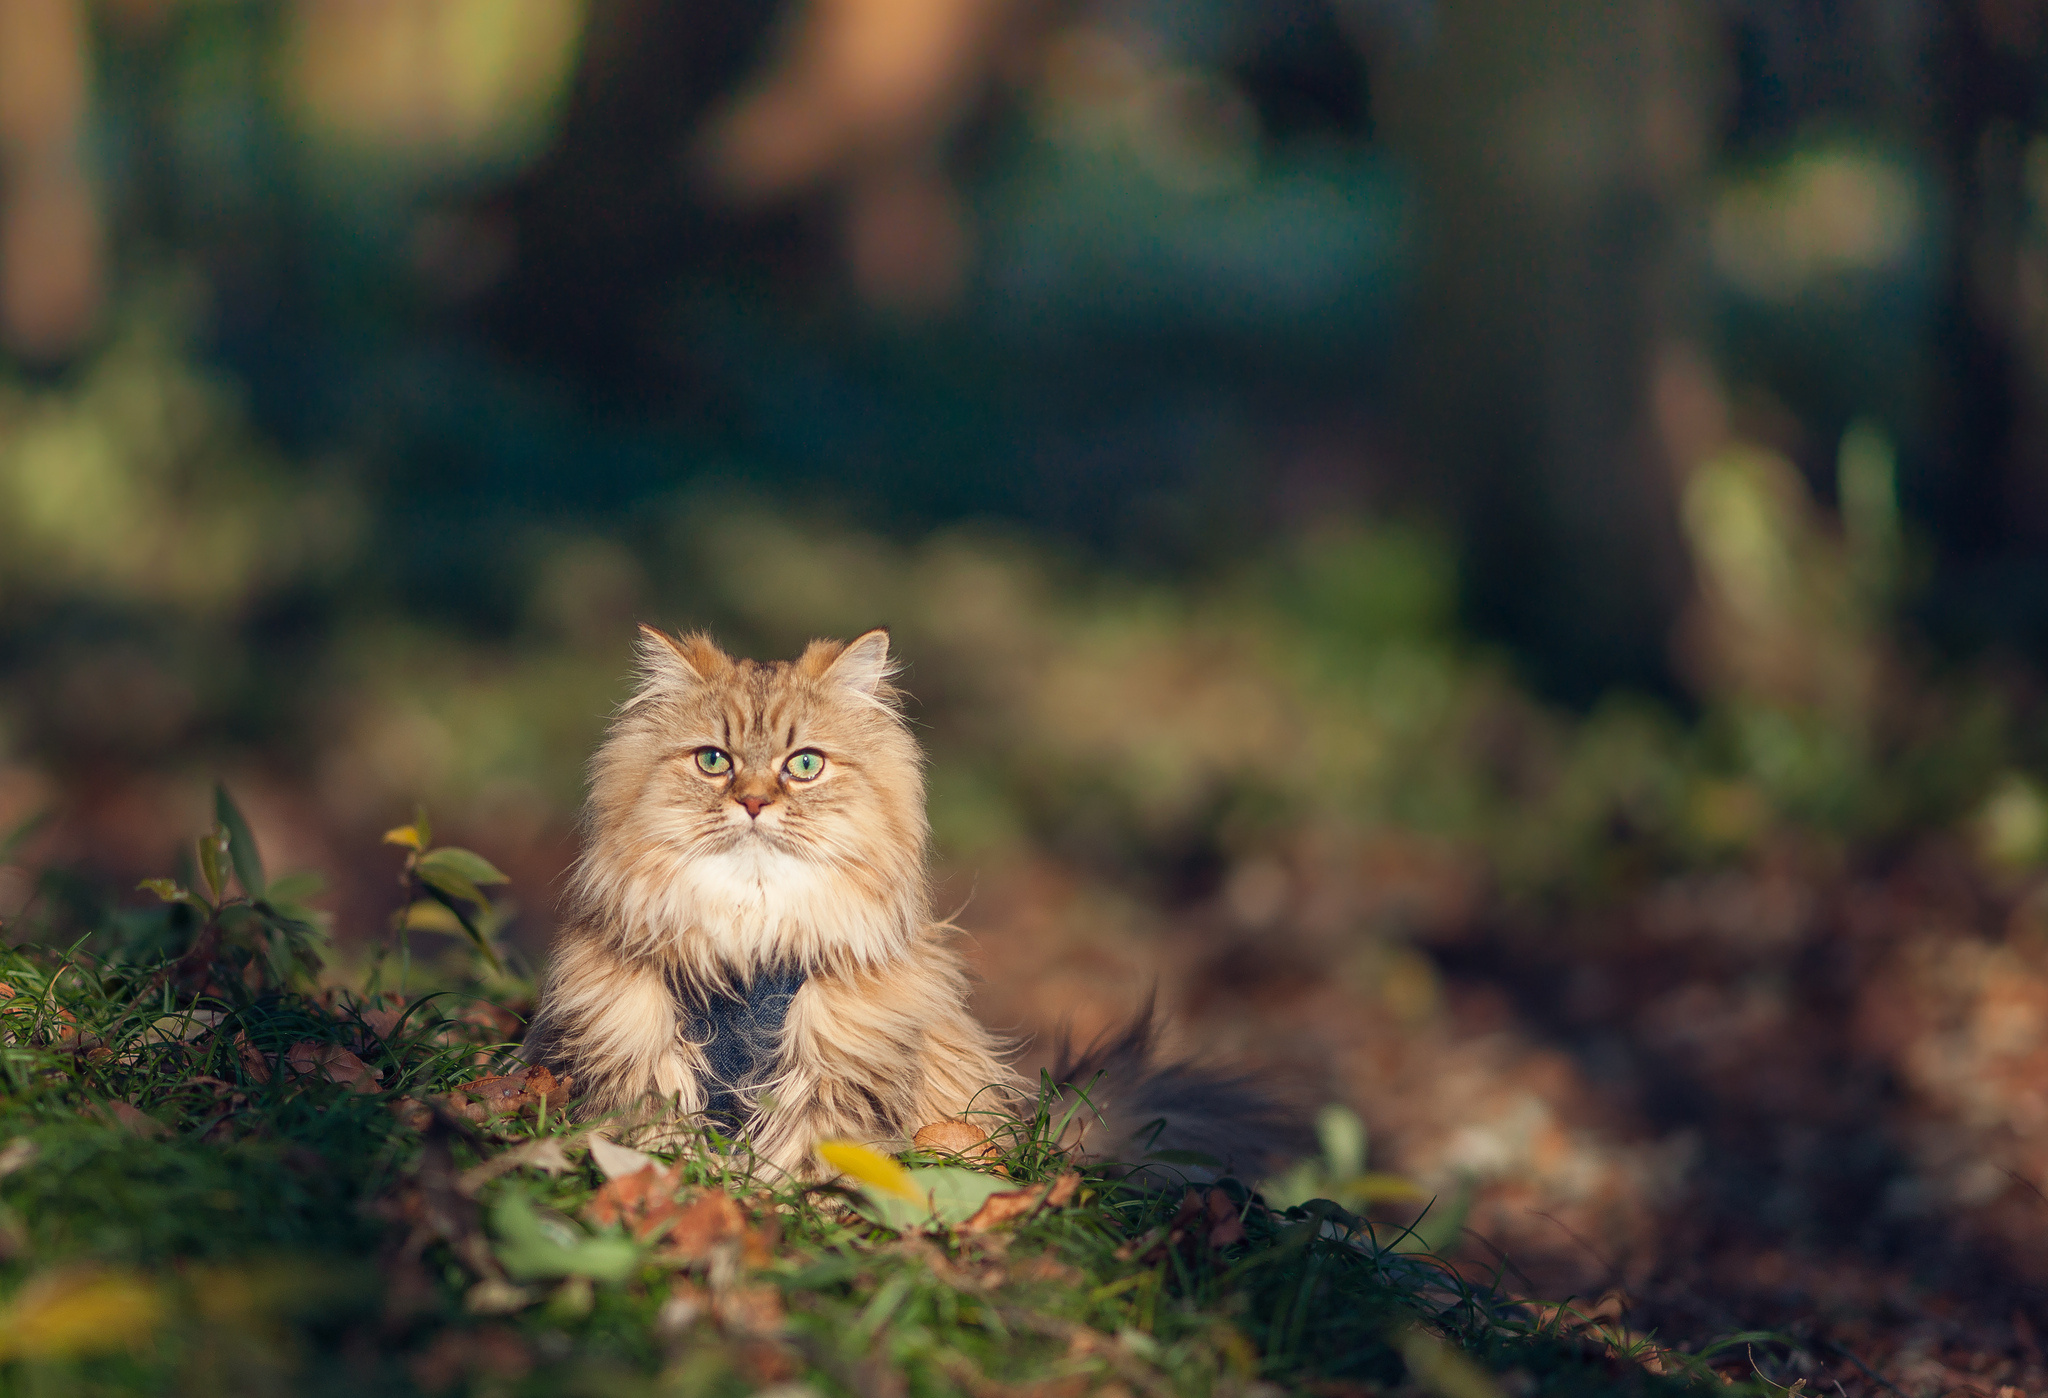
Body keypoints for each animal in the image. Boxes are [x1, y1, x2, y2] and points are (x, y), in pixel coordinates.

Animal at [528, 630, 1294, 1187]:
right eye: (714, 761)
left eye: (804, 765)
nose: (752, 803)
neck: (750, 937)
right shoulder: (643, 1041)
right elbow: (657, 1126)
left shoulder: (839, 1059)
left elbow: (813, 1147)